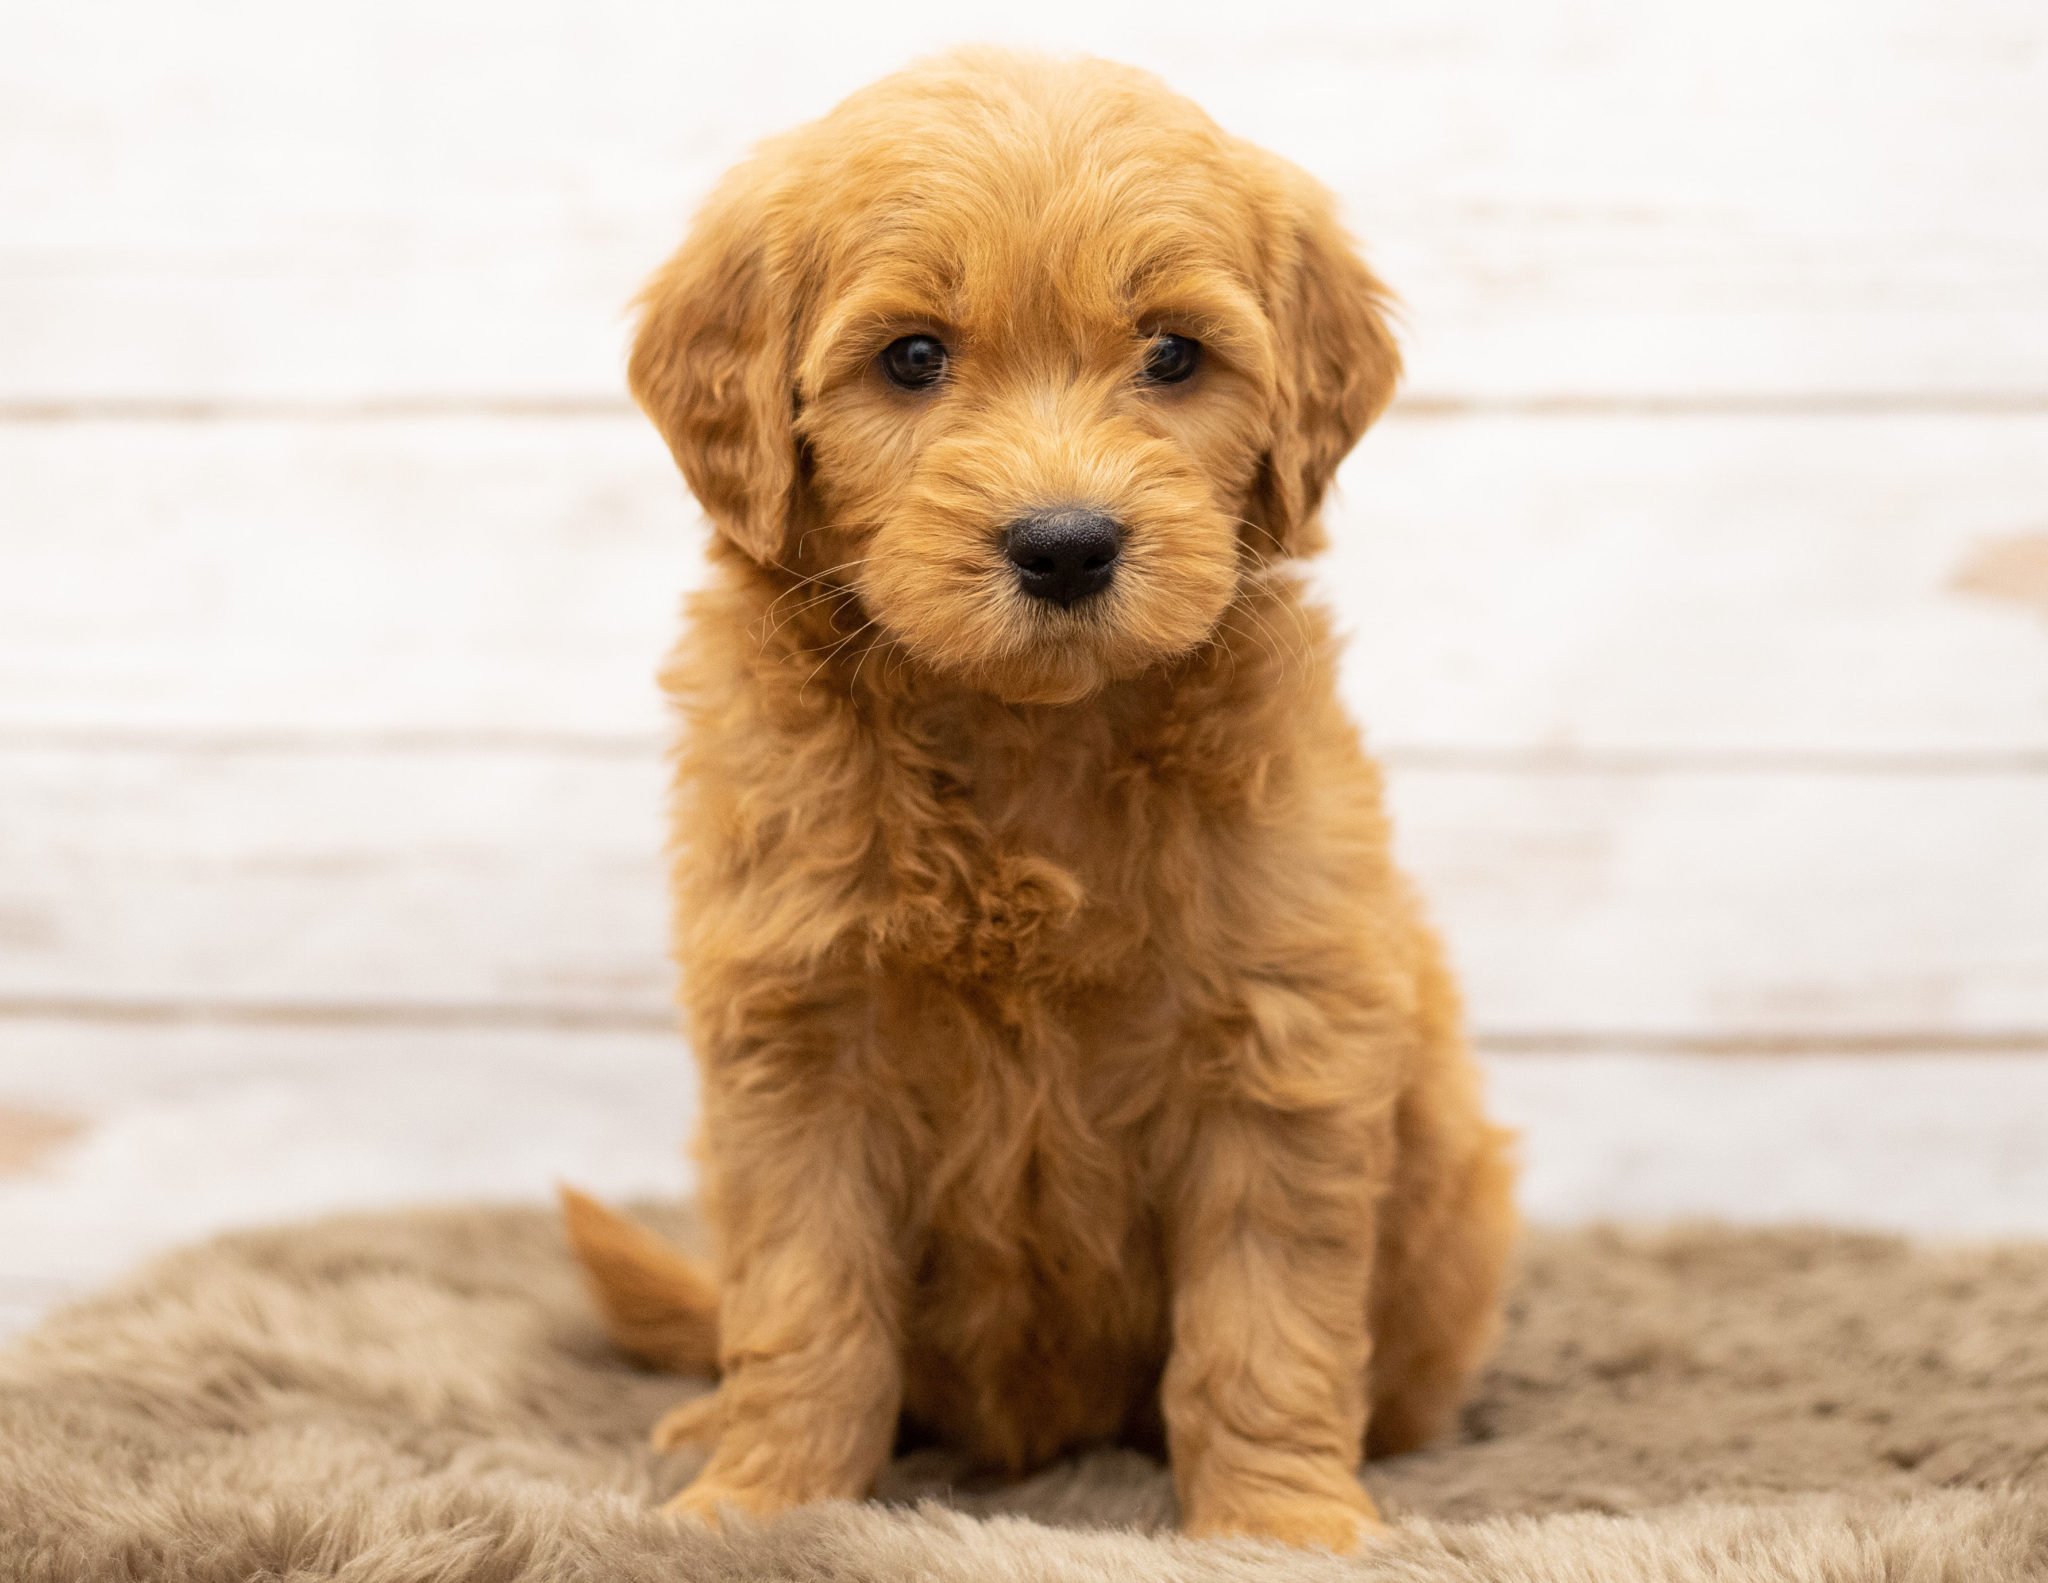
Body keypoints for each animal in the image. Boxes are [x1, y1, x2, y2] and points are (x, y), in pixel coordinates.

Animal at [569, 52, 1515, 1556]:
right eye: (911, 357)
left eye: (1172, 354)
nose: (1066, 545)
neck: (1028, 736)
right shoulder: (797, 1052)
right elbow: (804, 1313)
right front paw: (764, 1500)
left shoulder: (1282, 1048)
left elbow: (1262, 1328)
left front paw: (1278, 1524)